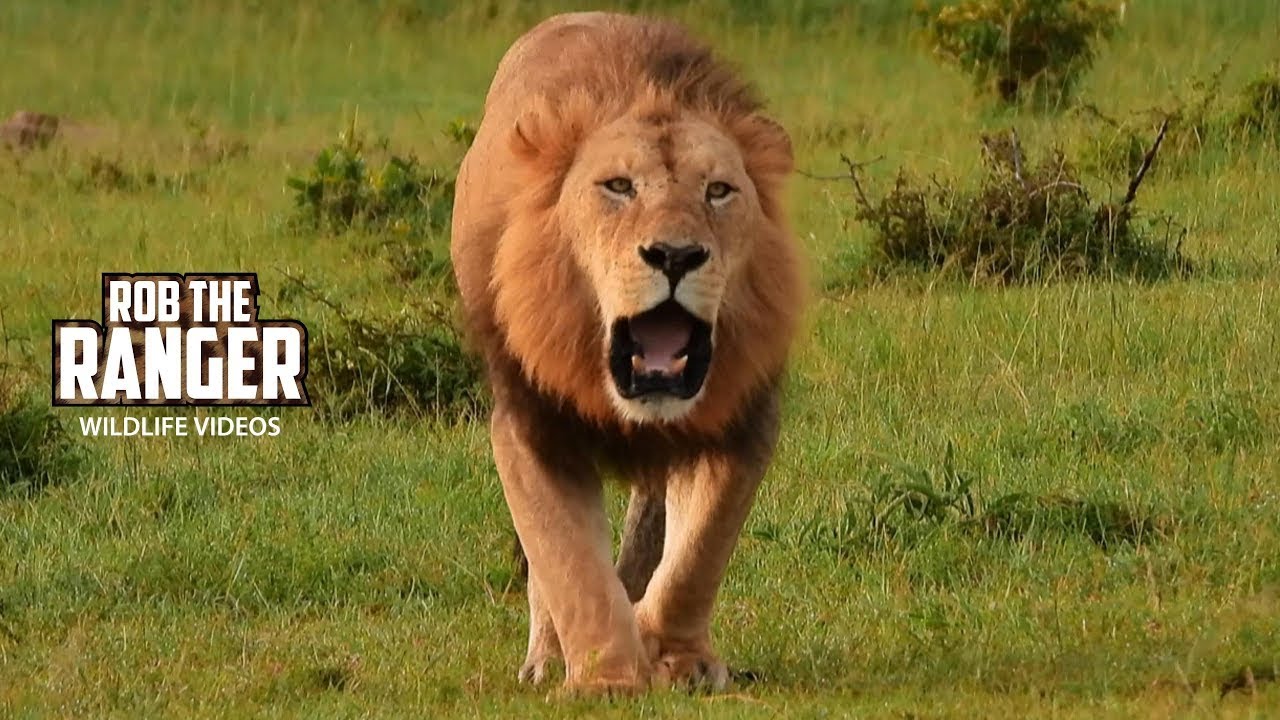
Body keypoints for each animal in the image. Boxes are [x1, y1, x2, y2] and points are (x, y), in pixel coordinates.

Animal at [450, 12, 803, 693]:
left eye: (719, 191)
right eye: (617, 186)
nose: (675, 255)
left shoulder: (742, 419)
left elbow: (698, 552)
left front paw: (678, 657)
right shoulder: (533, 422)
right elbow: (568, 563)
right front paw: (605, 678)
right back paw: (546, 657)